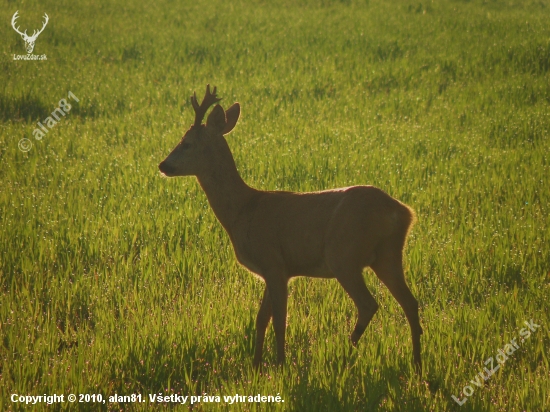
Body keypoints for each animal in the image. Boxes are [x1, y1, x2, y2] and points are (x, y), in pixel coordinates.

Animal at [157, 85, 424, 374]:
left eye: (187, 143)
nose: (163, 165)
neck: (242, 210)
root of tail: (403, 212)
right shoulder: (270, 269)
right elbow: (261, 318)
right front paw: (256, 364)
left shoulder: (274, 262)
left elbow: (279, 320)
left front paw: (280, 365)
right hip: (387, 254)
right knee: (410, 302)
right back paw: (417, 362)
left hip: (344, 255)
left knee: (368, 304)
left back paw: (345, 353)